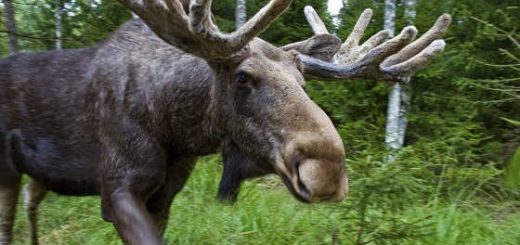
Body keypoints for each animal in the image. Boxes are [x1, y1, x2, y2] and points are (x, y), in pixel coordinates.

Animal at [0, 0, 450, 243]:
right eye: (242, 77)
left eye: (304, 81)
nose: (328, 171)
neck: (176, 128)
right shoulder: (118, 189)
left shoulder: (164, 195)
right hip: (7, 170)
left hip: (41, 175)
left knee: (31, 204)